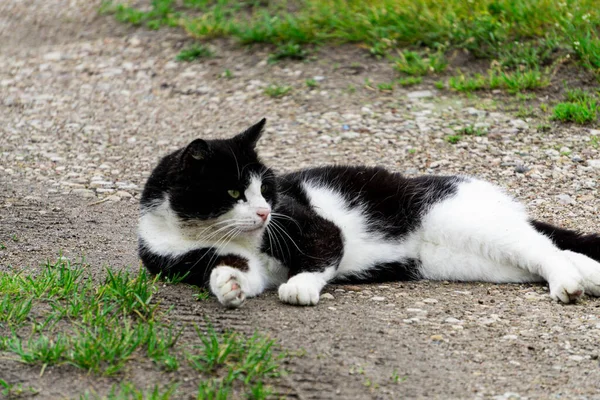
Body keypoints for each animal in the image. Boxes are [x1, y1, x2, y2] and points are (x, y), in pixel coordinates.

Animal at [138, 117, 600, 308]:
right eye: (235, 191)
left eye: (266, 188)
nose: (266, 212)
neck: (205, 232)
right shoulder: (190, 257)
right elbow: (239, 272)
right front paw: (228, 286)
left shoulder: (309, 224)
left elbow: (323, 251)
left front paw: (300, 286)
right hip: (472, 260)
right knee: (551, 253)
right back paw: (587, 279)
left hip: (470, 223)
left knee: (543, 248)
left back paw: (568, 285)